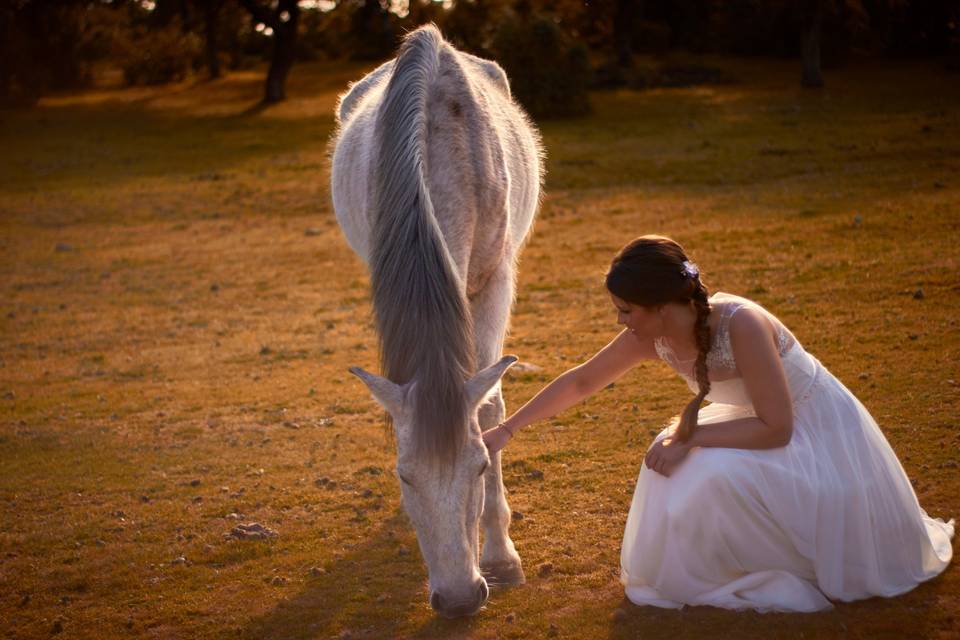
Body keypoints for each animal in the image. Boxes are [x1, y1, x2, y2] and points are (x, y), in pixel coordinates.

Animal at [330, 22, 544, 616]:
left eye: (479, 464)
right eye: (404, 477)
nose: (459, 599)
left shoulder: (496, 279)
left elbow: (491, 406)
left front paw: (501, 555)